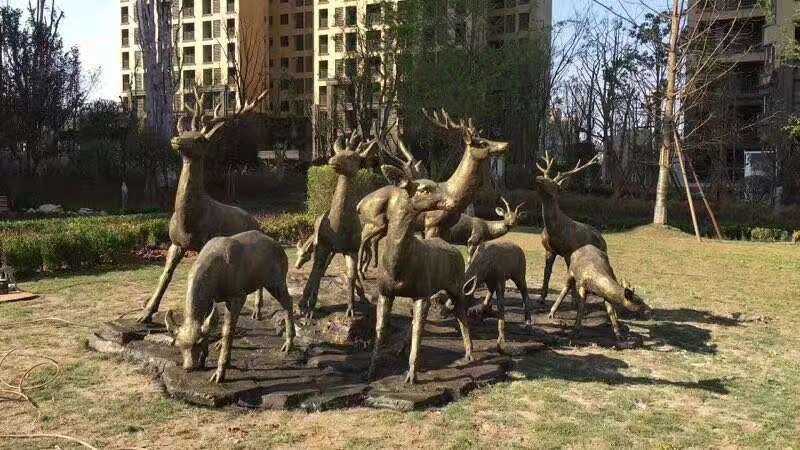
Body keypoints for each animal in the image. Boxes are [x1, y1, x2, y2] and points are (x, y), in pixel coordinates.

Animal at [134, 88, 266, 324]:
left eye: (200, 139)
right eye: (184, 131)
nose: (176, 139)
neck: (190, 221)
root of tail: (256, 221)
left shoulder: (206, 241)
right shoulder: (176, 243)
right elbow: (165, 276)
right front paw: (146, 313)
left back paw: (257, 311)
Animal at [298, 132, 376, 318]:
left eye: (353, 157)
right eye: (338, 153)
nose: (332, 159)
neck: (339, 226)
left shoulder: (352, 250)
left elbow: (351, 275)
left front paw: (351, 308)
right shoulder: (324, 246)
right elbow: (317, 272)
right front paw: (309, 309)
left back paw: (363, 297)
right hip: (323, 246)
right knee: (317, 271)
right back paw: (304, 302)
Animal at [536, 151, 608, 310]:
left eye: (554, 183)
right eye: (544, 176)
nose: (538, 178)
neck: (553, 230)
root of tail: (603, 239)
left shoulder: (569, 251)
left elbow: (570, 276)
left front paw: (574, 301)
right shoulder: (549, 250)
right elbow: (546, 273)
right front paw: (541, 298)